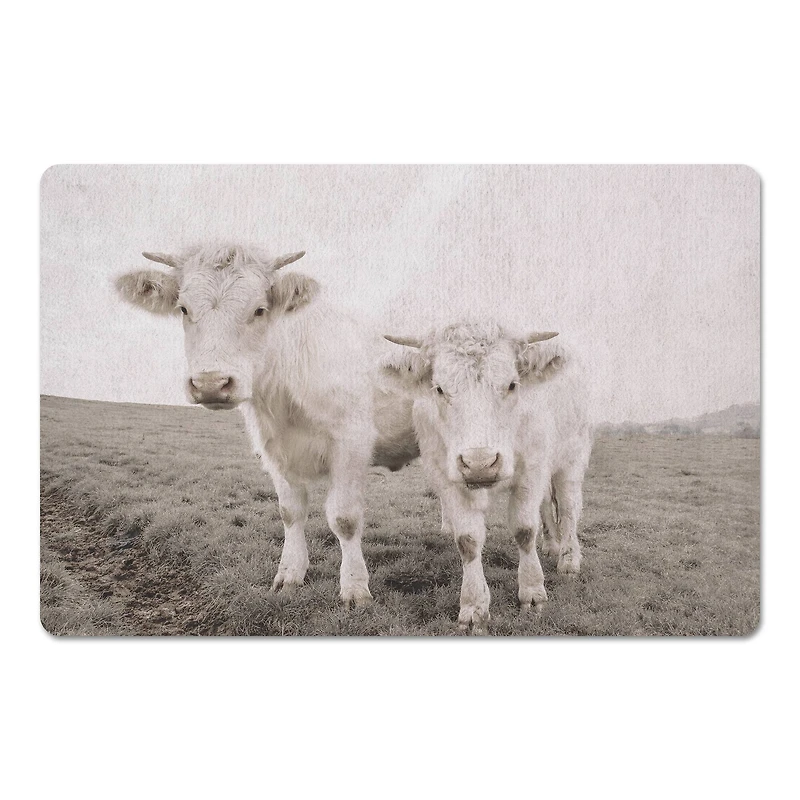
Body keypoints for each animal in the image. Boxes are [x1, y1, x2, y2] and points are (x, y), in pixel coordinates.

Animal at [116, 243, 416, 608]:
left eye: (259, 310)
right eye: (184, 309)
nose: (211, 384)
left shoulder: (352, 441)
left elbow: (344, 518)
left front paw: (355, 589)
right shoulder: (273, 449)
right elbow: (290, 512)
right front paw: (289, 576)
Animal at [381, 321, 593, 633]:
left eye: (512, 384)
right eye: (439, 388)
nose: (479, 463)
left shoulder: (532, 467)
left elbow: (524, 530)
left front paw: (532, 594)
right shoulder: (446, 476)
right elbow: (468, 540)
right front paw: (473, 608)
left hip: (572, 456)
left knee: (567, 509)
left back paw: (568, 559)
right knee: (546, 505)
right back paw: (551, 545)